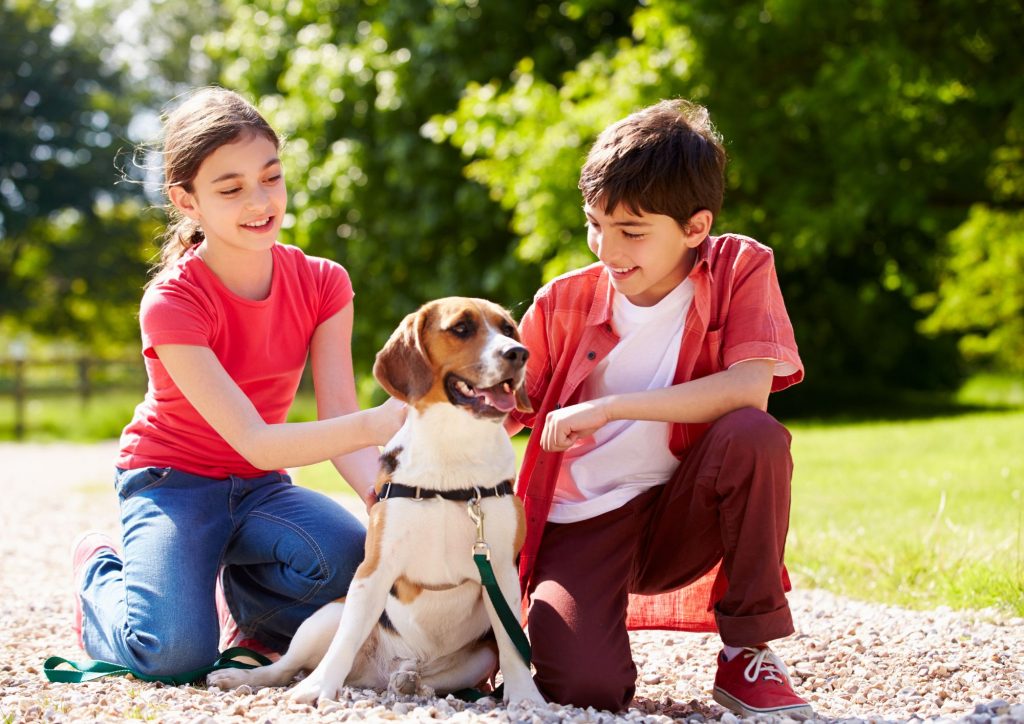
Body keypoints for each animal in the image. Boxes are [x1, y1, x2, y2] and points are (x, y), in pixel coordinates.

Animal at [203, 296, 548, 708]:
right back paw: (243, 676)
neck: (454, 447)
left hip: (477, 658)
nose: (518, 353)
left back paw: (410, 681)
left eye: (509, 329)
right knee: (287, 666)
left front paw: (526, 697)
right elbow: (346, 639)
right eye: (462, 328)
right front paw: (317, 690)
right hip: (325, 616)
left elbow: (513, 646)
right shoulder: (373, 570)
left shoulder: (501, 572)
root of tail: (373, 674)